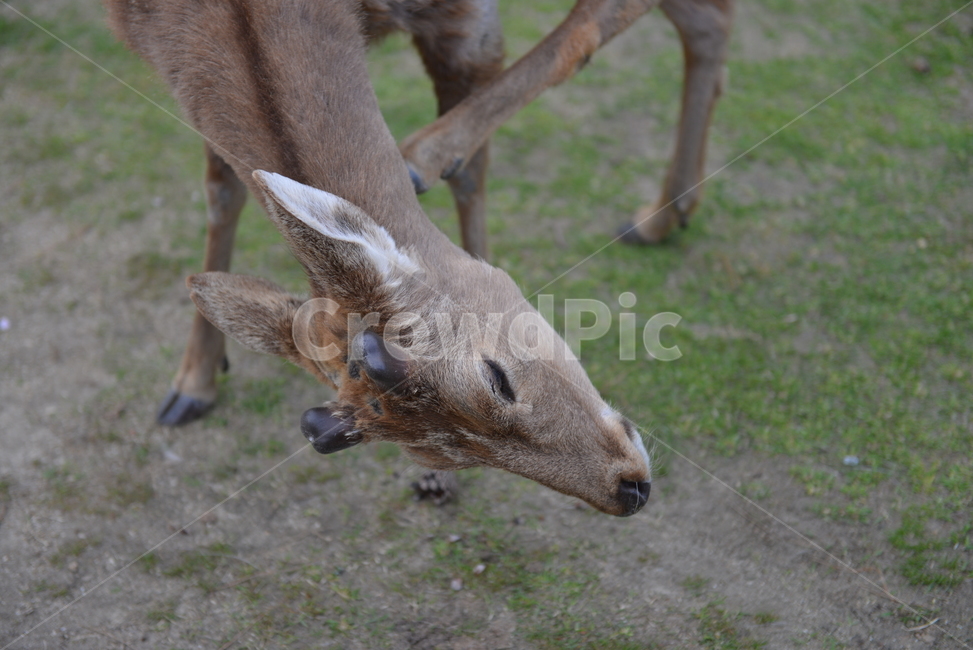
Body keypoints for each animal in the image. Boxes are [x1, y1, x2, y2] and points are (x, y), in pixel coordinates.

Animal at [105, 0, 652, 516]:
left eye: (495, 378)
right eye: (439, 453)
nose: (630, 489)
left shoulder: (467, 20)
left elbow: (470, 164)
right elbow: (221, 187)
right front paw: (191, 386)